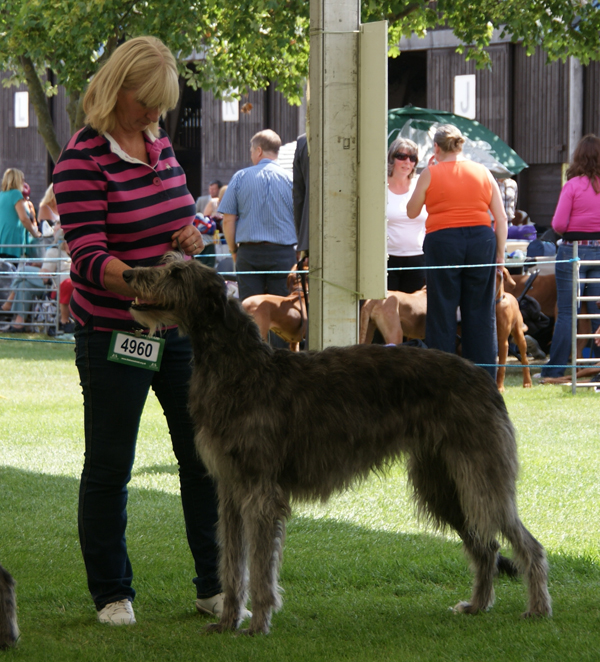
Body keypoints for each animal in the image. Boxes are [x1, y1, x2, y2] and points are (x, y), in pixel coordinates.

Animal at [124, 254, 552, 640]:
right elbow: (232, 564)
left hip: (480, 477)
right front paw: (229, 620)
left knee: (526, 544)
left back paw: (537, 608)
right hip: (443, 484)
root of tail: (484, 378)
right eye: (167, 263)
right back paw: (478, 605)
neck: (240, 369)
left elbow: (261, 569)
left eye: (177, 273)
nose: (128, 274)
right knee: (487, 547)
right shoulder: (230, 492)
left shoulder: (261, 493)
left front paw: (258, 625)